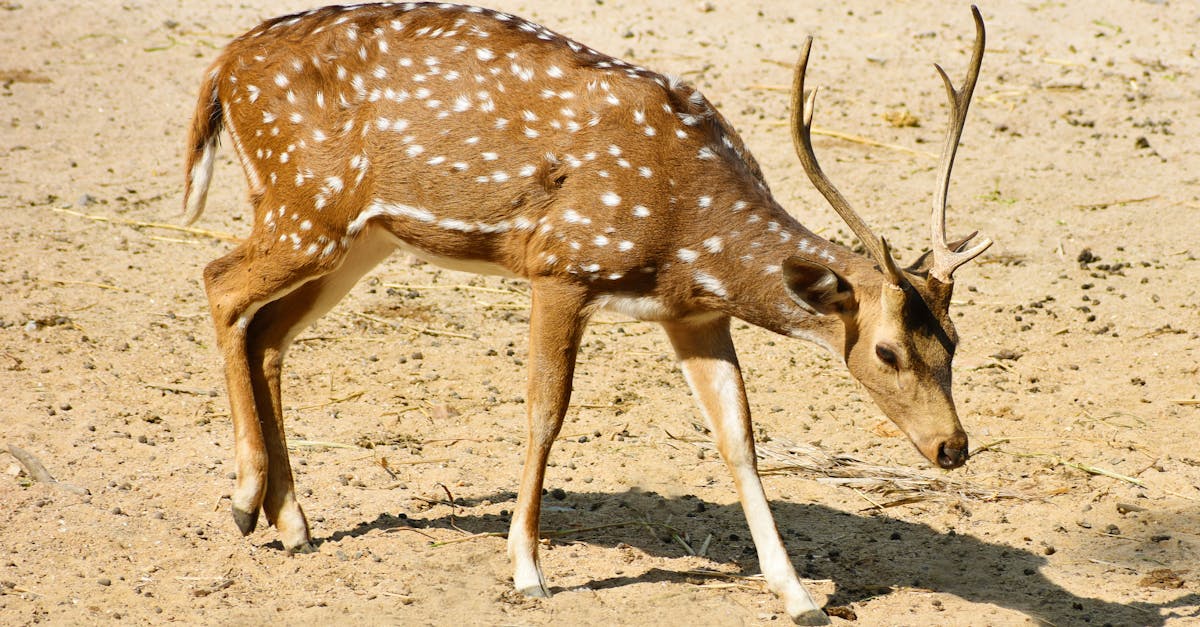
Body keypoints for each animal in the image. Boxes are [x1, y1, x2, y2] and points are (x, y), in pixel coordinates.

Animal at [182, 3, 990, 624]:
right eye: (887, 350)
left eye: (954, 340)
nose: (953, 446)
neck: (688, 227)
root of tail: (221, 65)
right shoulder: (561, 265)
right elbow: (546, 409)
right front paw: (527, 570)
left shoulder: (692, 314)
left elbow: (739, 436)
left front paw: (798, 596)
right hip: (304, 207)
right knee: (219, 281)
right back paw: (245, 500)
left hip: (356, 236)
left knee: (269, 332)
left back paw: (293, 522)